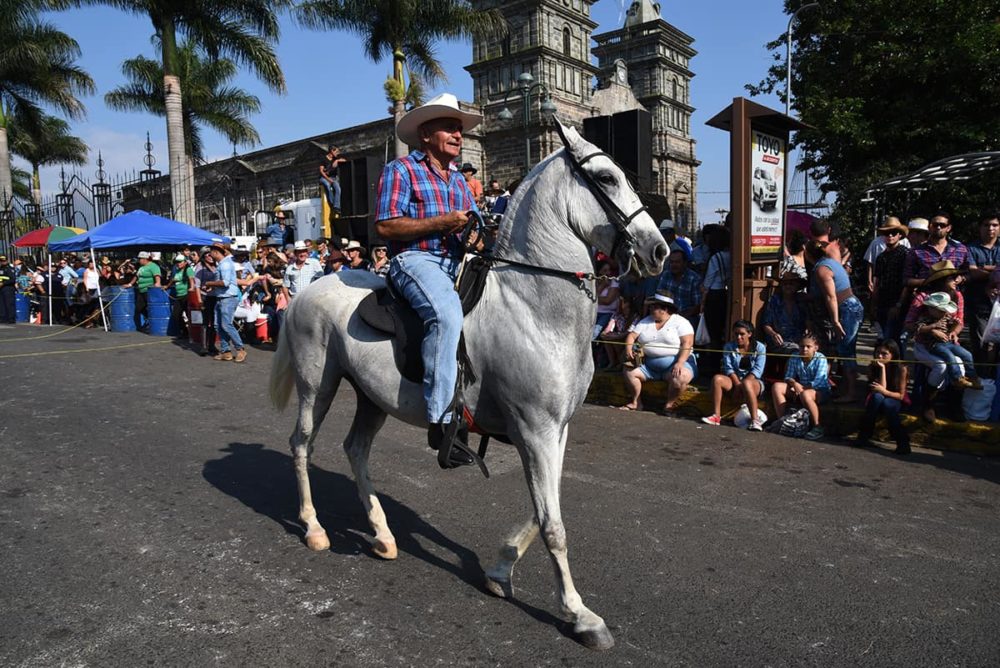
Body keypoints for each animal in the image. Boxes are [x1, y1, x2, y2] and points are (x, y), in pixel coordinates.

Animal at [270, 120, 668, 648]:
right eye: (606, 177)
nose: (658, 250)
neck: (534, 306)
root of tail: (306, 290)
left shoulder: (555, 429)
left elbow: (545, 507)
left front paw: (499, 571)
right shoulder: (535, 429)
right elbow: (553, 524)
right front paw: (580, 615)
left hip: (370, 396)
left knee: (355, 449)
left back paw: (383, 535)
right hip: (319, 384)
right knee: (301, 444)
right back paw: (314, 528)